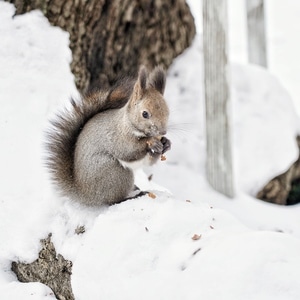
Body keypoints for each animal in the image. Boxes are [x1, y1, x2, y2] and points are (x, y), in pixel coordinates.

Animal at [44, 65, 171, 206]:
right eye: (145, 114)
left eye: (167, 112)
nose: (162, 132)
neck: (127, 124)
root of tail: (85, 194)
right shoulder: (117, 137)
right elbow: (128, 151)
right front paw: (152, 142)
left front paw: (166, 144)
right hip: (115, 173)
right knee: (113, 201)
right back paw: (132, 196)